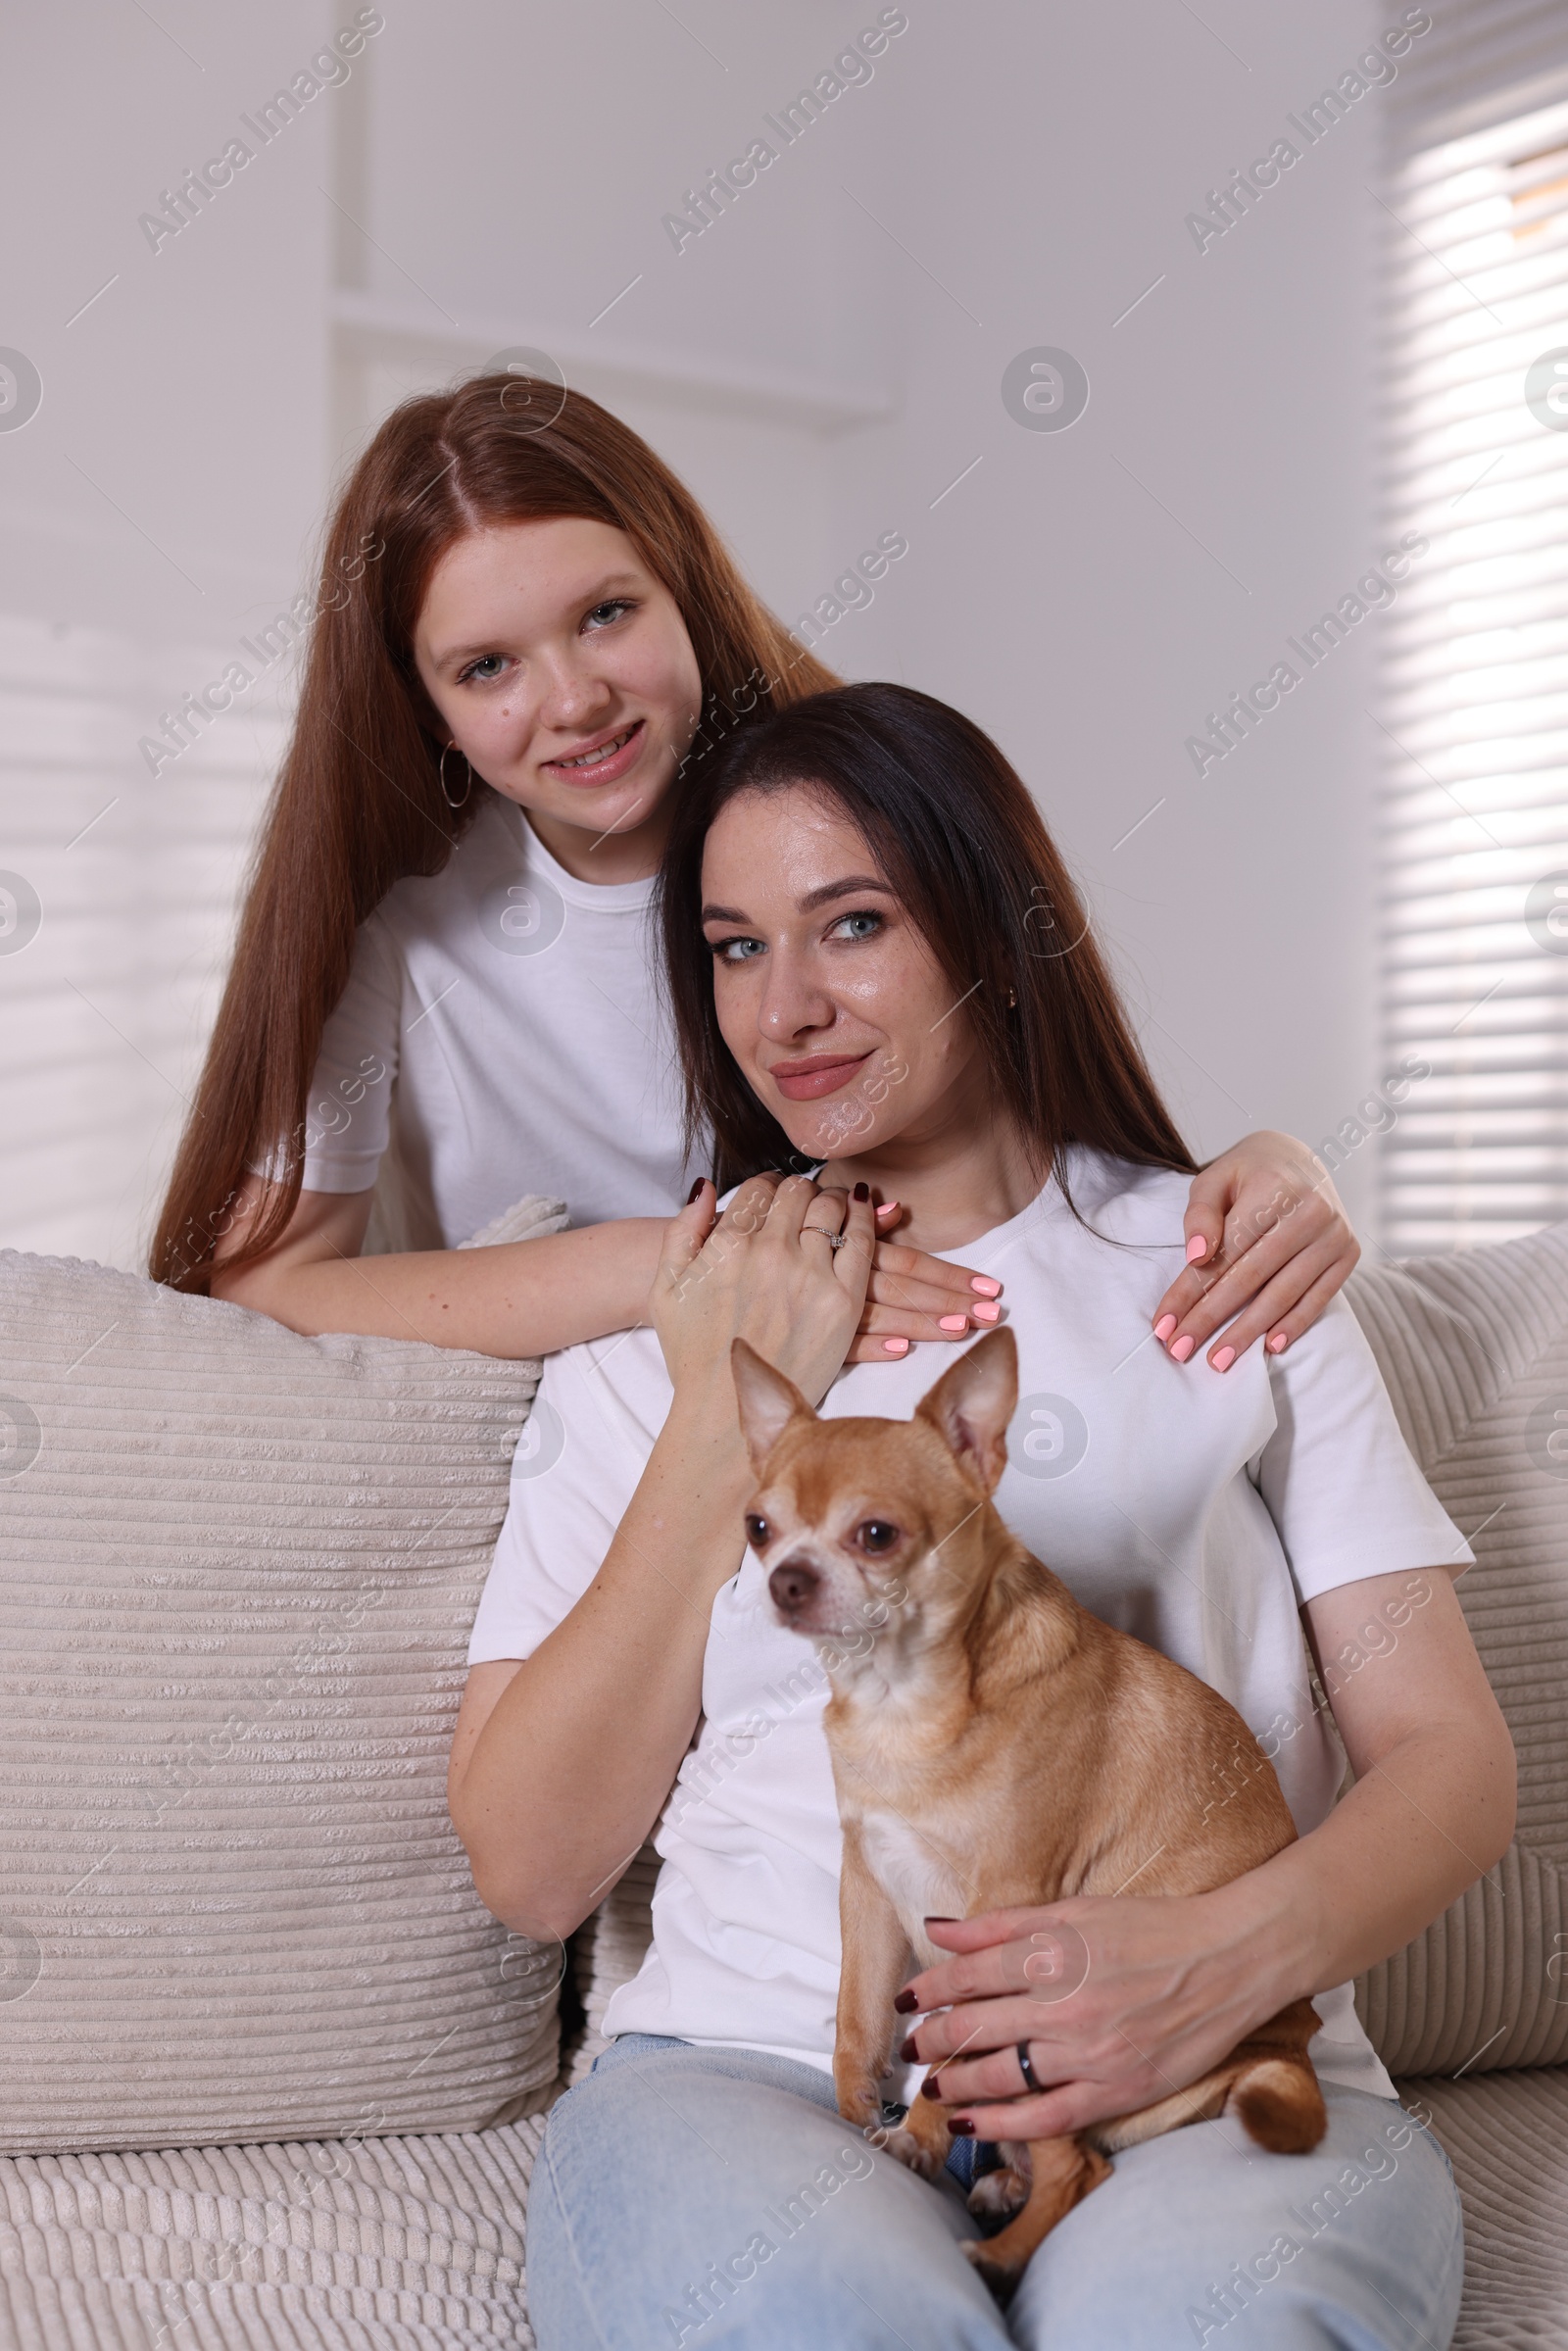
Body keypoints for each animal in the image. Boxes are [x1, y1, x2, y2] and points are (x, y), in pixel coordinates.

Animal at [733, 1335, 1325, 2304]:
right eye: (757, 1527)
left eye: (876, 1534)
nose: (787, 1577)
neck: (901, 1702)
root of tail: (1285, 2049)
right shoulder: (870, 1882)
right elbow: (860, 2012)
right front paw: (860, 2106)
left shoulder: (995, 1917)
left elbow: (942, 2054)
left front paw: (920, 2133)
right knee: (1077, 2161)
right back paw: (1001, 2184)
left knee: (1081, 2169)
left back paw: (1004, 2247)